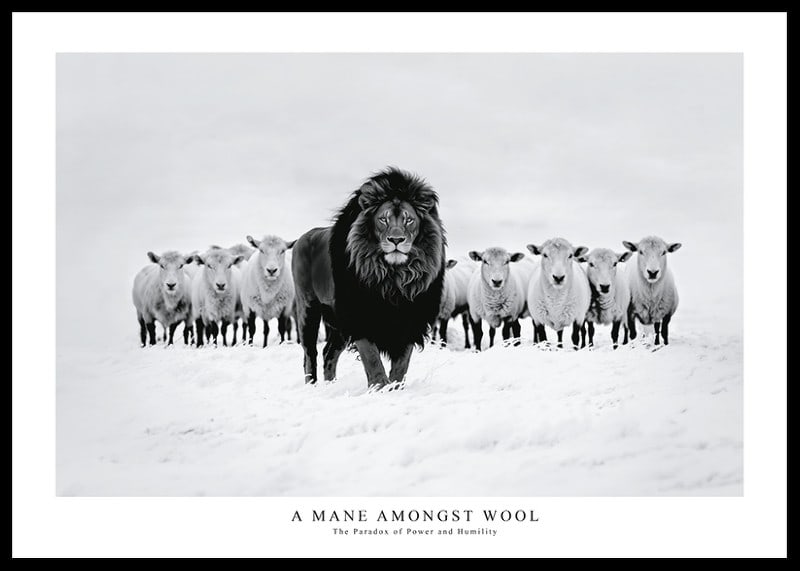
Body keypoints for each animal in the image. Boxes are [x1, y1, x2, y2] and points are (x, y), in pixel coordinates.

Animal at [292, 167, 446, 389]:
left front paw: (396, 387)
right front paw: (380, 387)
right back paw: (312, 387)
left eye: (409, 220)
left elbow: (402, 364)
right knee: (309, 353)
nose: (396, 239)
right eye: (383, 219)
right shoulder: (358, 317)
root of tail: (303, 237)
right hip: (308, 308)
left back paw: (332, 386)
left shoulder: (410, 319)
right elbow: (372, 359)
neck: (393, 276)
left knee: (329, 353)